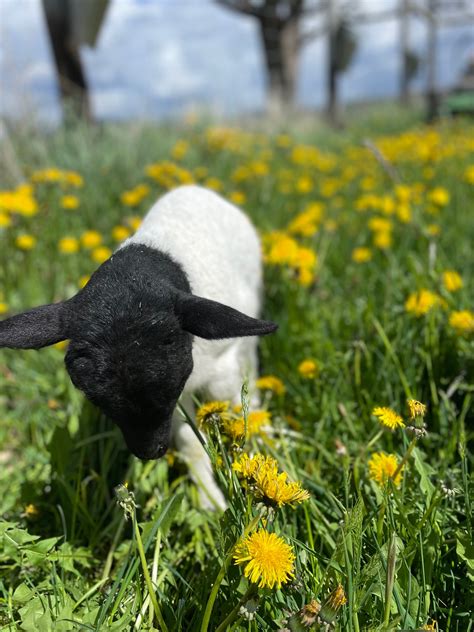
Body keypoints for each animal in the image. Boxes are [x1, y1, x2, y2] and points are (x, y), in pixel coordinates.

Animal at [0, 186, 278, 508]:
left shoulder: (216, 370)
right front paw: (209, 499)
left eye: (170, 383)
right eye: (95, 398)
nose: (150, 452)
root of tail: (194, 188)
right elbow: (190, 441)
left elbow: (233, 405)